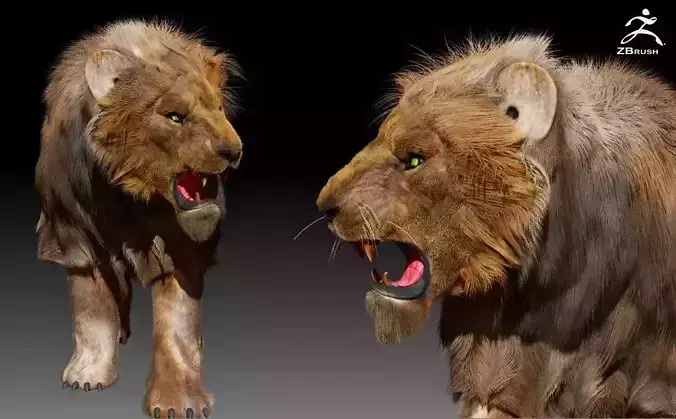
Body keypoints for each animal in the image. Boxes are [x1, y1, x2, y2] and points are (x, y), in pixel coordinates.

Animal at [35, 19, 243, 418]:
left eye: (219, 108)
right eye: (174, 117)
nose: (234, 150)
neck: (125, 197)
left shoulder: (178, 246)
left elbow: (176, 324)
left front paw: (179, 401)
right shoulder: (74, 236)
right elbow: (91, 312)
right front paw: (87, 374)